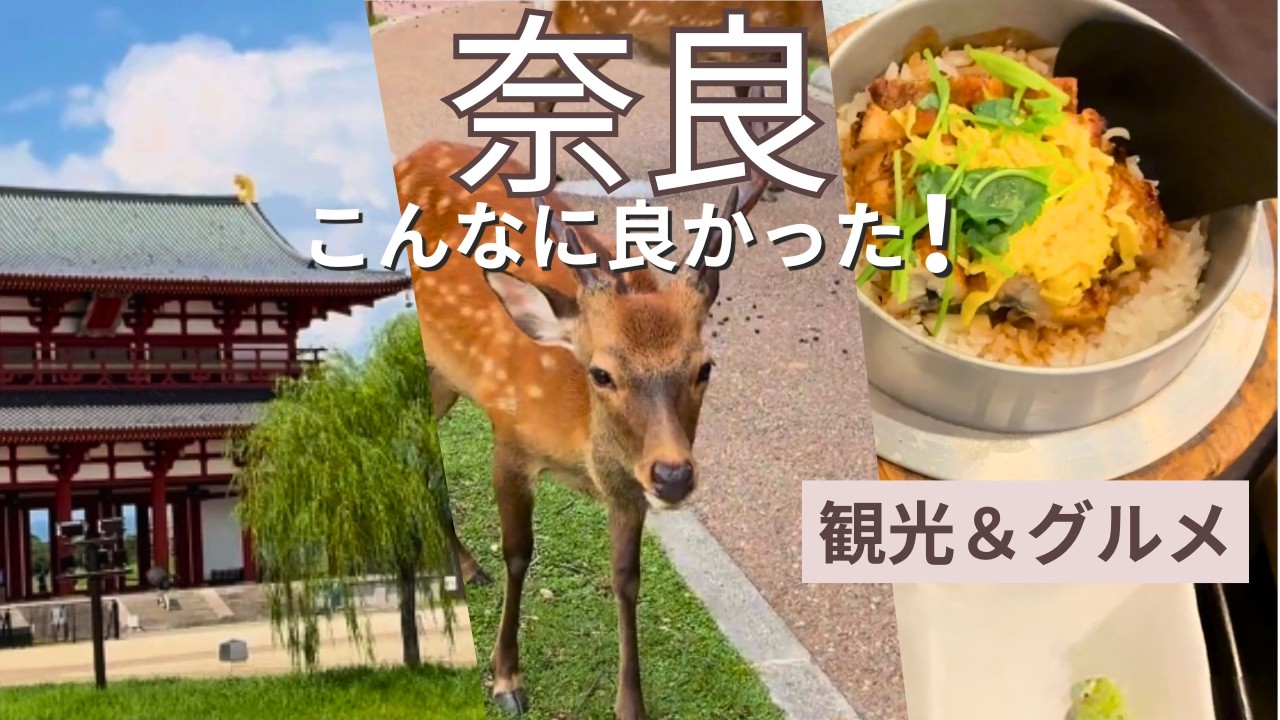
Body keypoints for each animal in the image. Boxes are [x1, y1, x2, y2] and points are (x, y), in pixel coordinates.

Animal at [395, 111, 769, 718]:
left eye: (704, 367)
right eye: (602, 373)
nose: (673, 476)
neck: (579, 446)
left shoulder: (628, 484)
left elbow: (627, 578)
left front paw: (630, 704)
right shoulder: (509, 436)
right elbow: (519, 553)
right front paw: (506, 678)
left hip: (447, 375)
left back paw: (465, 565)